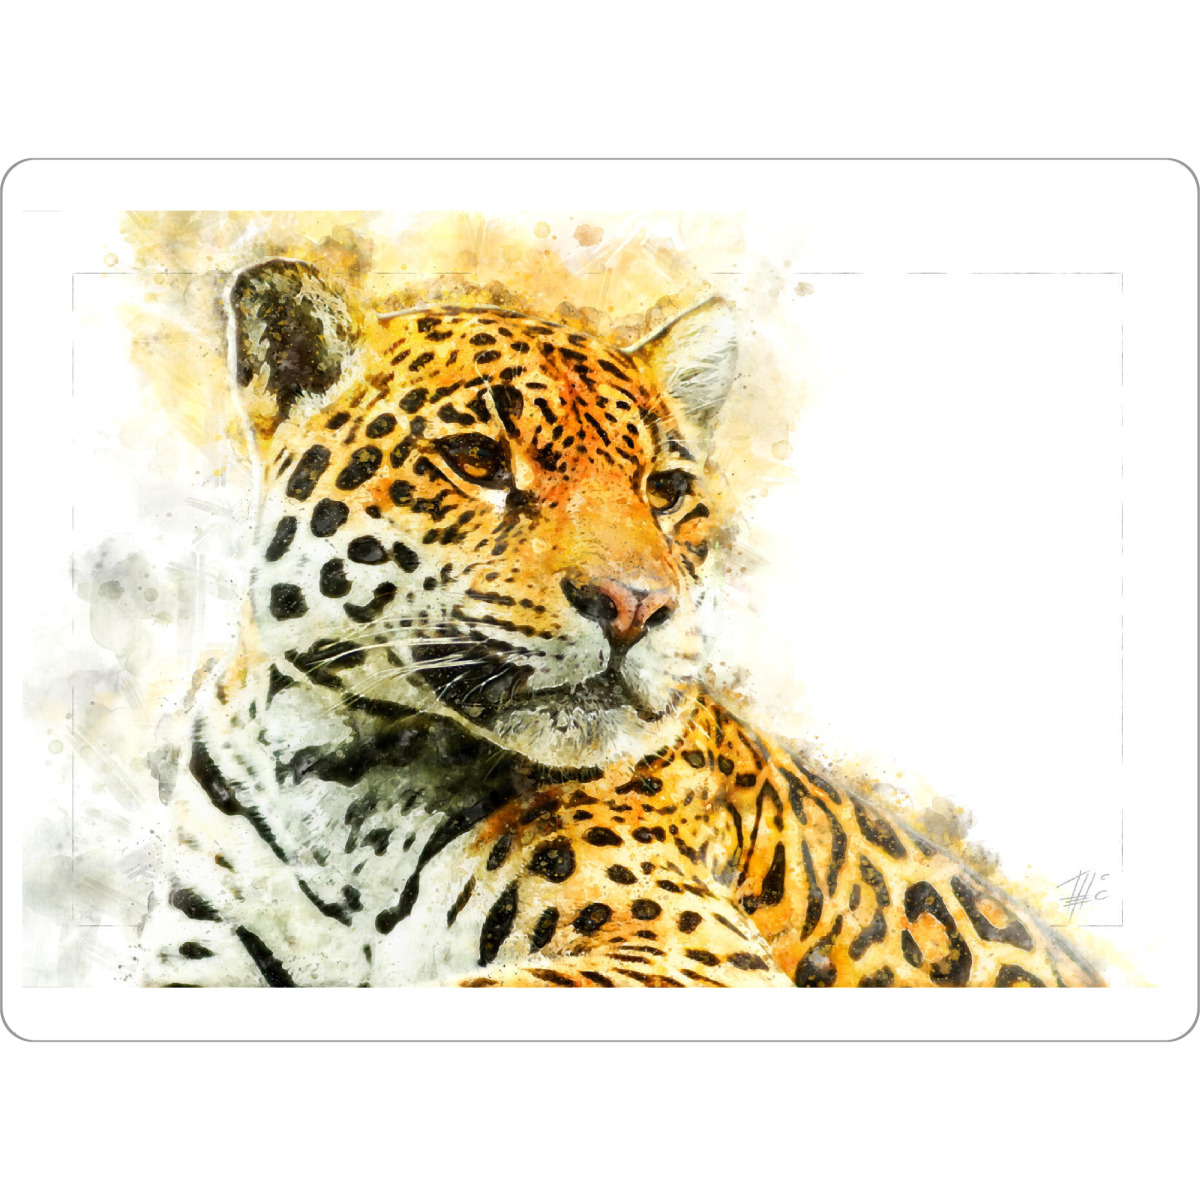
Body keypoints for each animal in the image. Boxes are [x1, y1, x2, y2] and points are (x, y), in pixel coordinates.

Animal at [139, 257, 1105, 988]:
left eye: (665, 489)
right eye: (478, 460)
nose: (636, 606)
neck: (340, 780)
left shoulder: (691, 947)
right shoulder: (199, 960)